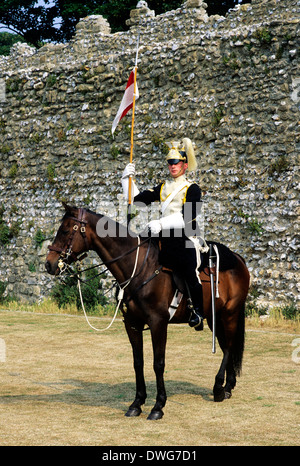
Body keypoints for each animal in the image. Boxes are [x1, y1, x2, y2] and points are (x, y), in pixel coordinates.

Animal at [45, 203, 250, 418]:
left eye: (65, 230)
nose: (49, 263)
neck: (138, 269)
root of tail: (238, 258)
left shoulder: (158, 323)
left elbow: (158, 364)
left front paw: (158, 406)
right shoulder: (132, 324)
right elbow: (138, 362)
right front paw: (137, 403)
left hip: (230, 314)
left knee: (228, 347)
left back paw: (218, 388)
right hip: (214, 317)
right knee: (226, 346)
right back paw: (228, 386)